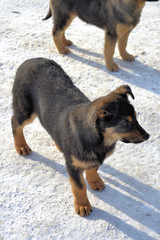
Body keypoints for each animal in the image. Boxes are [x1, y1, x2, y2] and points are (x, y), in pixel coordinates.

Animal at [11, 57, 149, 216]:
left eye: (136, 118)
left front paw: (94, 181)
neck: (102, 140)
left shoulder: (94, 158)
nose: (147, 136)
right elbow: (79, 187)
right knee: (15, 122)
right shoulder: (73, 166)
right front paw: (82, 205)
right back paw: (21, 146)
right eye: (126, 123)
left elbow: (92, 168)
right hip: (25, 108)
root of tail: (31, 59)